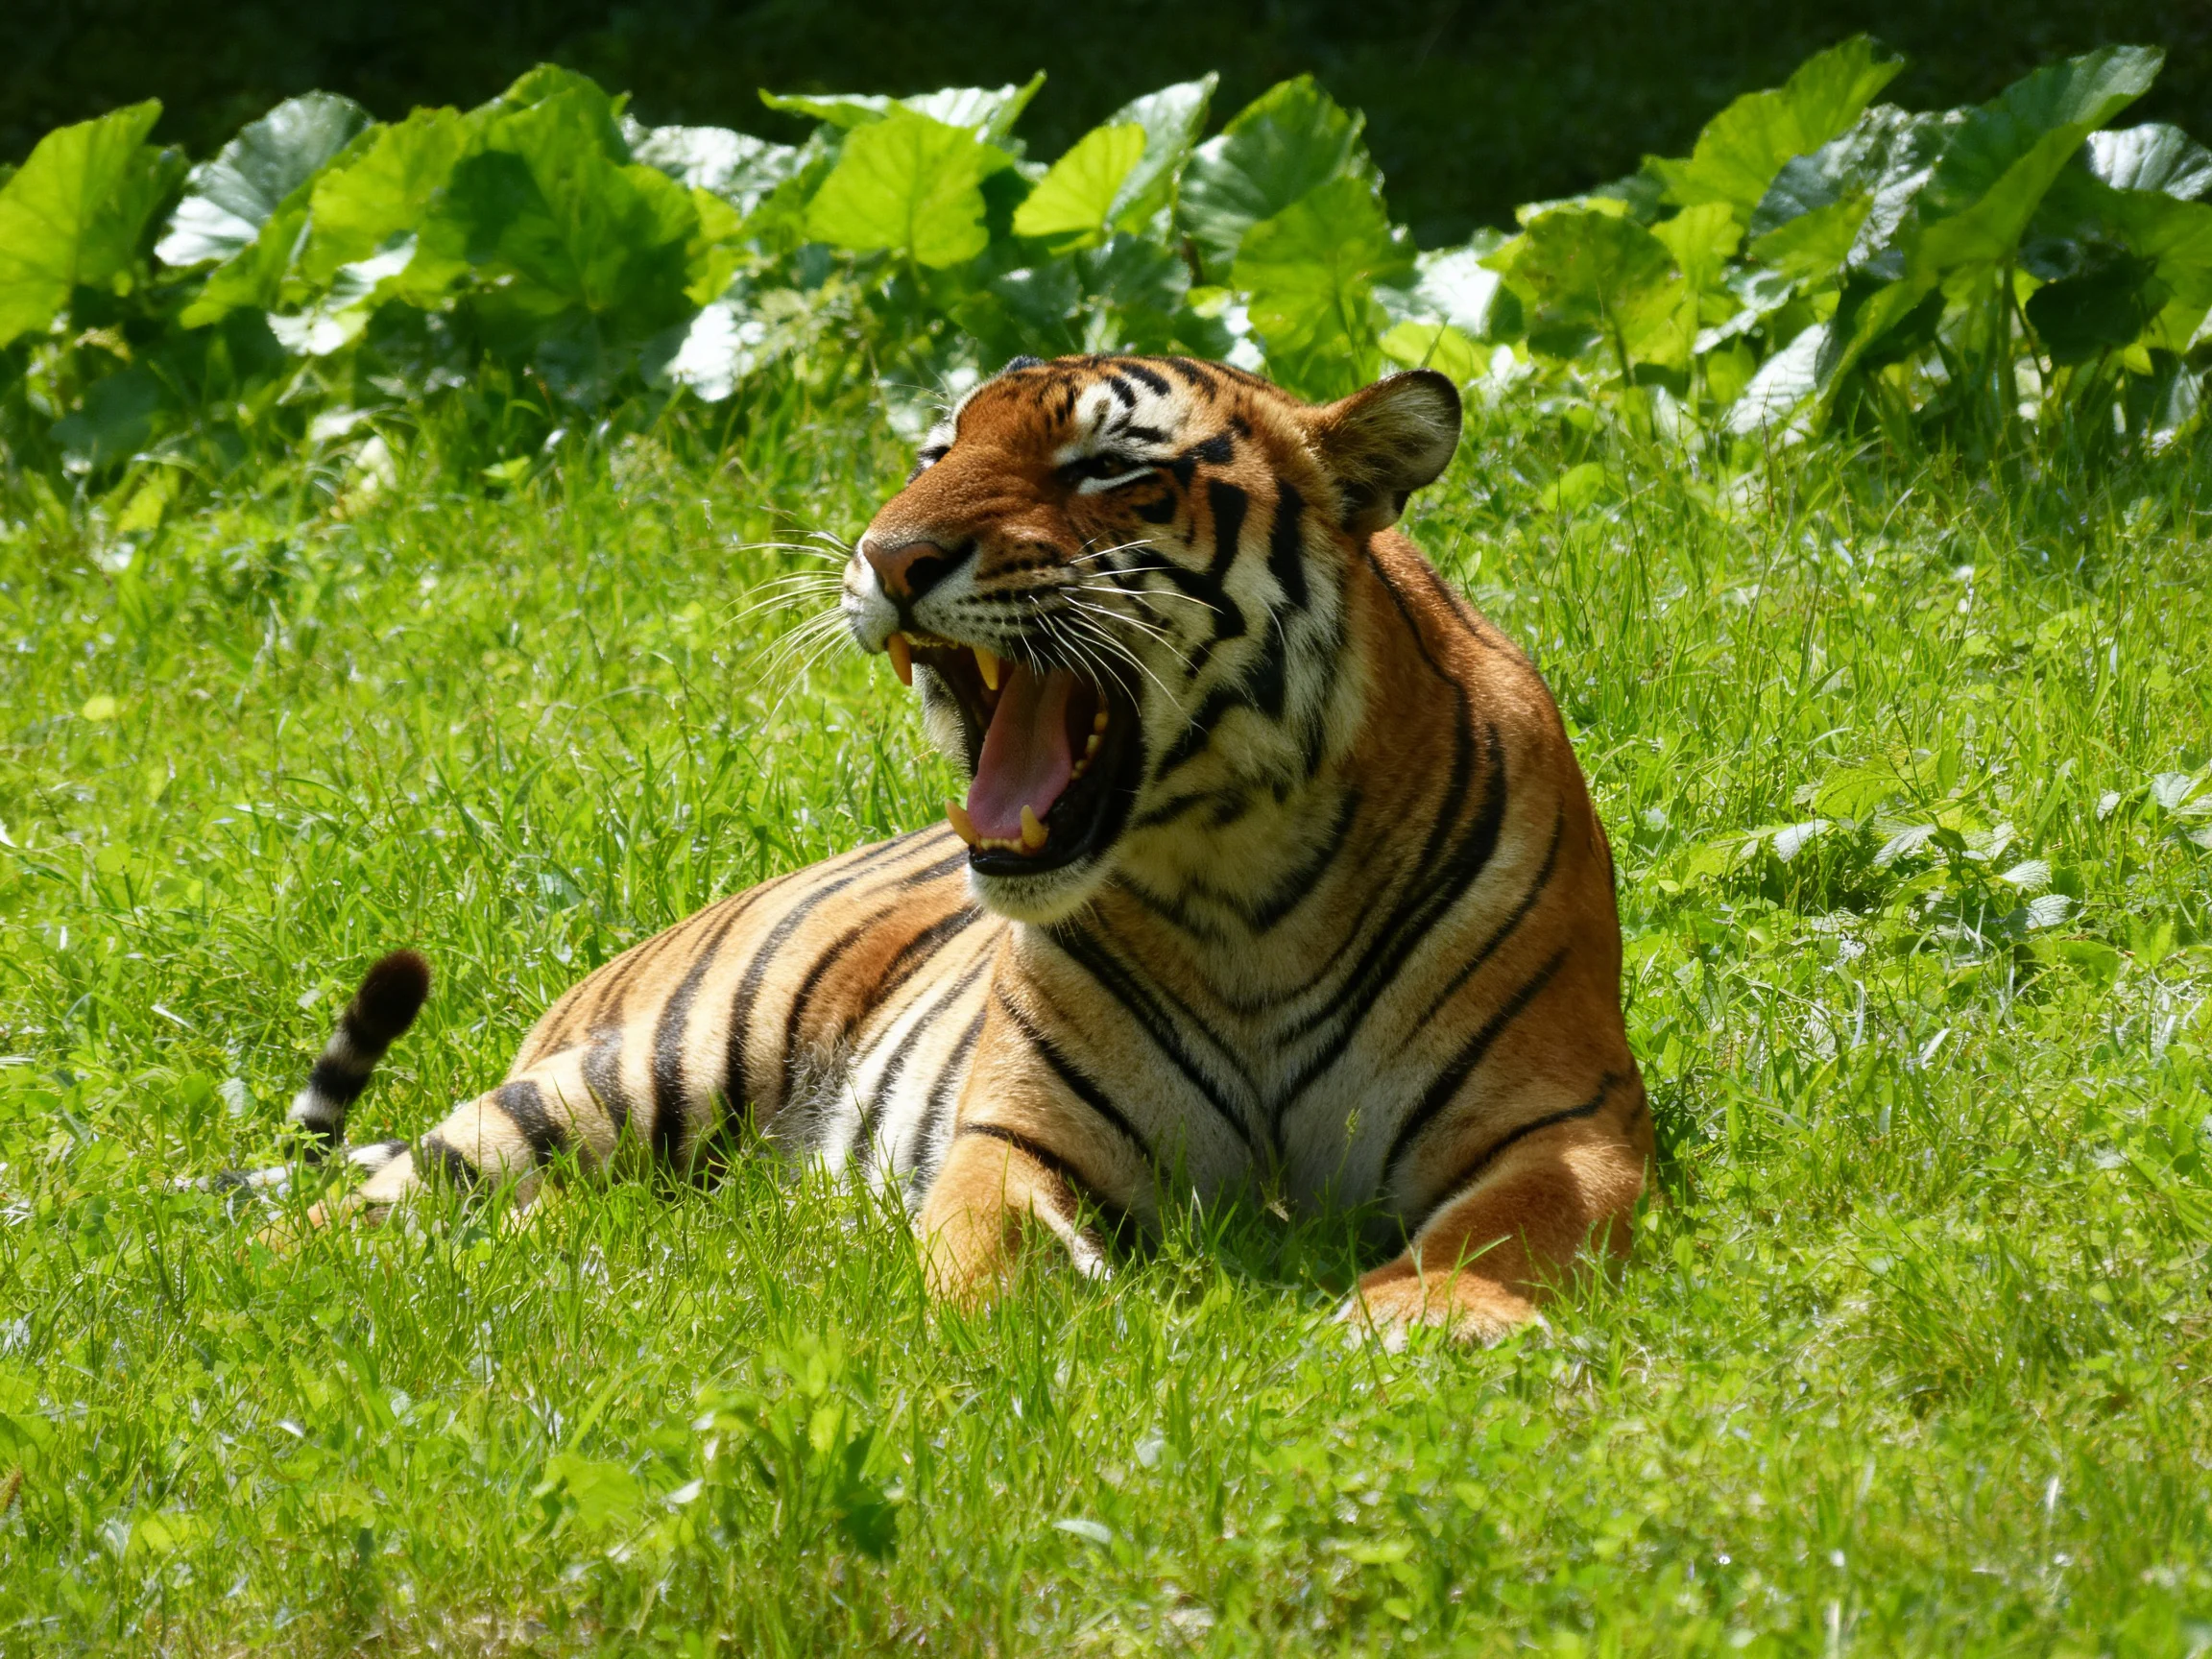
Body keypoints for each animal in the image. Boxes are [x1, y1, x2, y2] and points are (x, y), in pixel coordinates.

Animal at [229, 353, 1653, 1344]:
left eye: (1105, 469)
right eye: (934, 449)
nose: (888, 555)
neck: (1239, 880)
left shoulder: (1563, 1119)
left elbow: (1505, 1230)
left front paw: (1421, 1325)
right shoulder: (1021, 1134)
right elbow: (981, 1238)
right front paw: (1030, 1330)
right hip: (622, 1081)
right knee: (333, 1217)